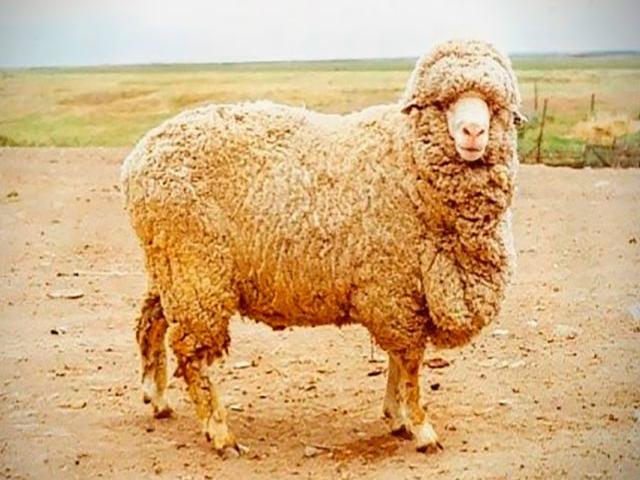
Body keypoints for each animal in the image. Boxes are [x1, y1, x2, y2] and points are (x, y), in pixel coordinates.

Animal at [122, 39, 523, 454]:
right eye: (442, 103)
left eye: (496, 105)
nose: (473, 131)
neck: (407, 159)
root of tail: (138, 156)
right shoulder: (395, 292)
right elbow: (410, 365)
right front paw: (420, 427)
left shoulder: (400, 297)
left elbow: (397, 361)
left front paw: (396, 417)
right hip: (198, 271)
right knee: (189, 350)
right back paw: (218, 432)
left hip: (169, 266)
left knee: (150, 321)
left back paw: (157, 397)